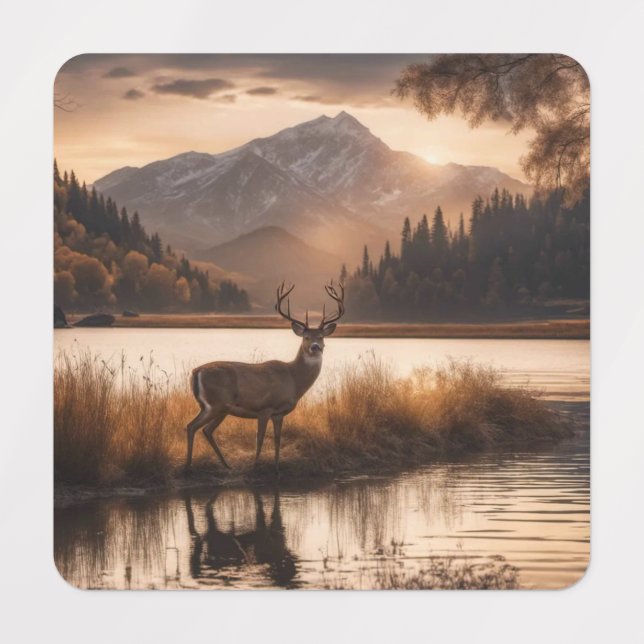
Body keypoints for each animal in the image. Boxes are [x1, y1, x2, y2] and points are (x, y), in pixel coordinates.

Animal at [185, 281, 345, 472]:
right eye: (306, 337)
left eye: (321, 337)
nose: (315, 347)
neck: (294, 380)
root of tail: (196, 371)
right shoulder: (265, 408)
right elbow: (259, 439)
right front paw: (255, 466)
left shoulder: (279, 413)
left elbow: (277, 439)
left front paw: (276, 468)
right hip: (217, 404)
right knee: (193, 427)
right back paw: (189, 466)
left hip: (214, 407)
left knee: (203, 429)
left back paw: (224, 465)